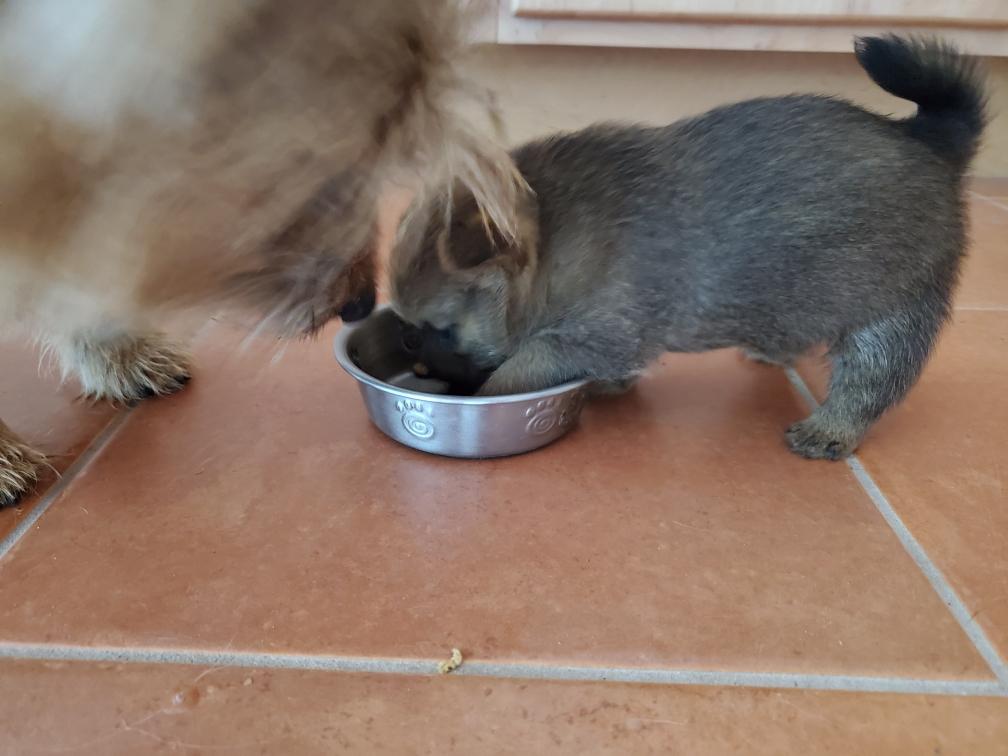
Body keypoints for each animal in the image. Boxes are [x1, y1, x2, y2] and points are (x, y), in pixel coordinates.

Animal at [390, 35, 988, 460]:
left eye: (444, 328)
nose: (416, 356)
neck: (555, 246)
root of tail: (928, 140)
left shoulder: (583, 337)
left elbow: (519, 368)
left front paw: (487, 393)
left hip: (892, 310)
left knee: (873, 381)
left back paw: (831, 427)